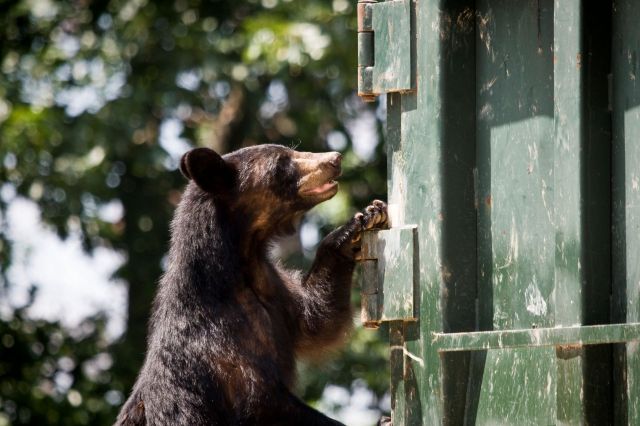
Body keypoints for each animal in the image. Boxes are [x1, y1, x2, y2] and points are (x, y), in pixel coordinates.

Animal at [115, 144, 388, 425]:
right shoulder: (220, 344)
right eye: (281, 163)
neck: (241, 266)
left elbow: (318, 319)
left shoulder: (273, 288)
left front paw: (359, 223)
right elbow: (260, 401)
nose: (335, 158)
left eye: (291, 149)